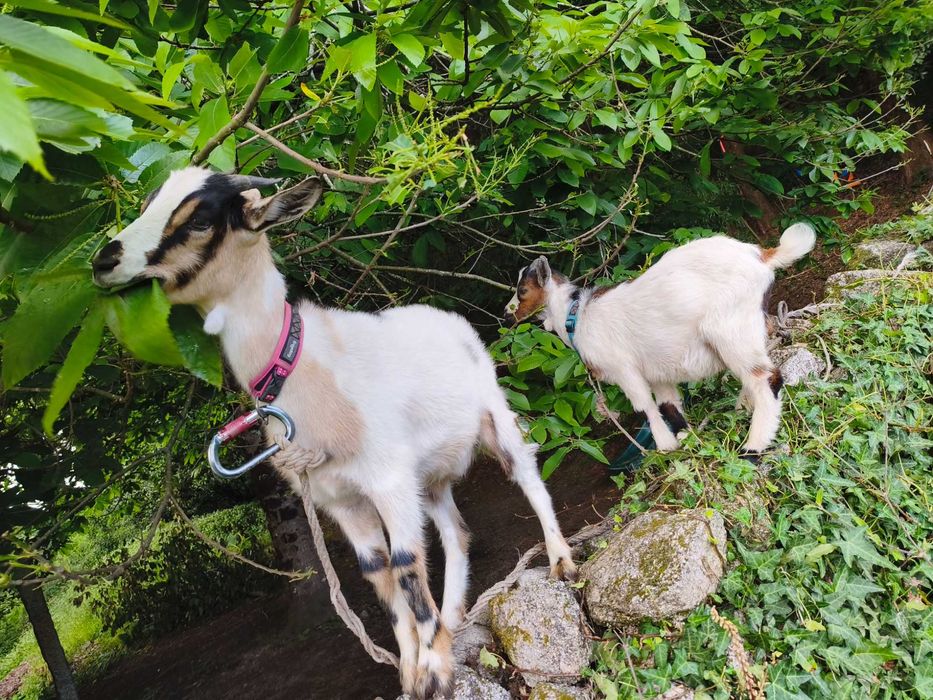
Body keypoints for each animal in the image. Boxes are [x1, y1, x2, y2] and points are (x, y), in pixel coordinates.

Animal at [92, 167, 575, 699]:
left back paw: (560, 561)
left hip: (493, 414)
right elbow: (378, 572)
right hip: (427, 476)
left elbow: (405, 563)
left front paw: (435, 674)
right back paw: (452, 616)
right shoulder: (339, 498)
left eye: (200, 219)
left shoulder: (387, 479)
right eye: (149, 202)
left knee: (526, 474)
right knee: (455, 531)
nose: (103, 260)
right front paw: (411, 669)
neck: (300, 369)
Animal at [504, 224, 816, 458]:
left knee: (767, 378)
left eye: (522, 290)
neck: (576, 317)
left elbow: (645, 407)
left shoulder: (624, 370)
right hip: (749, 326)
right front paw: (687, 440)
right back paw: (743, 409)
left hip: (729, 330)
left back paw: (753, 446)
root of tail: (761, 255)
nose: (507, 316)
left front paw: (664, 447)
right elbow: (669, 405)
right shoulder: (656, 371)